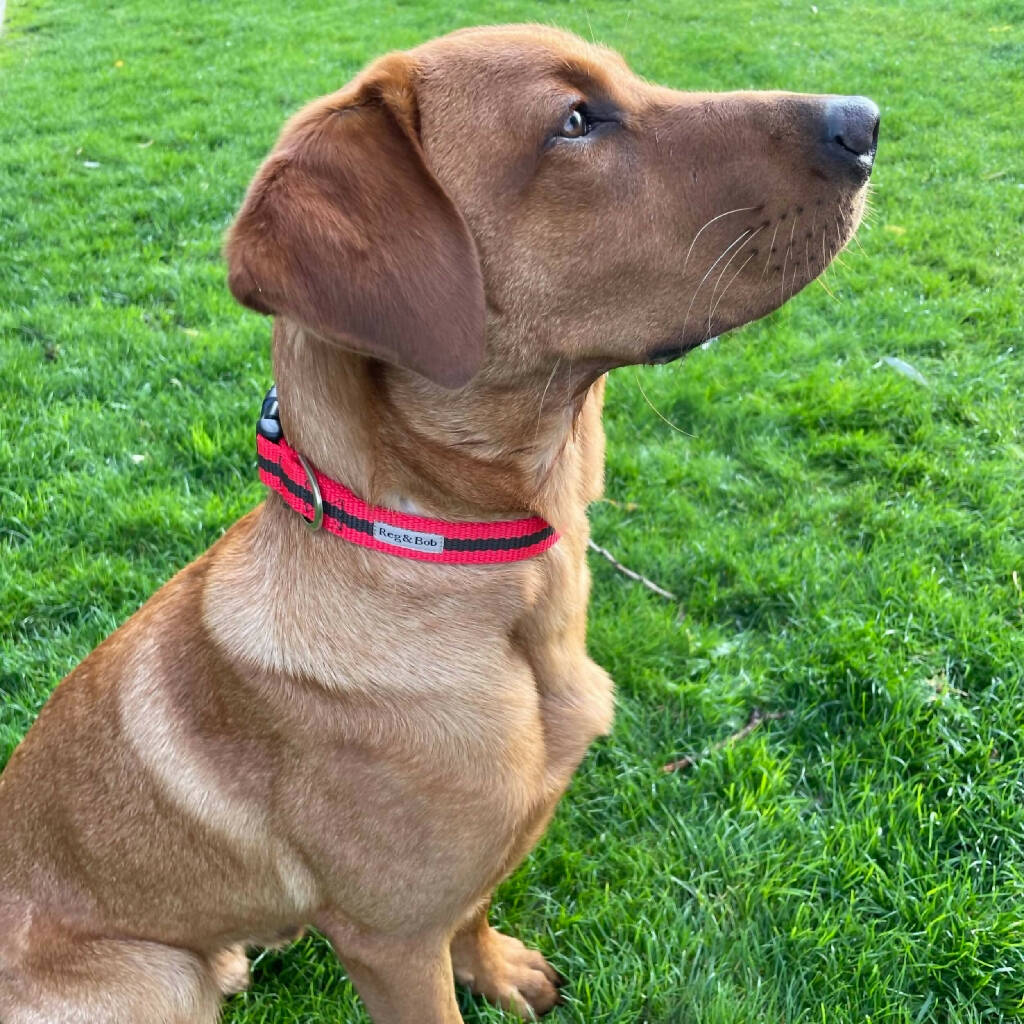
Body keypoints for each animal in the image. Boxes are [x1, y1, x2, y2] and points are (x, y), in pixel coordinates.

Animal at [2, 24, 880, 1024]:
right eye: (574, 121)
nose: (867, 122)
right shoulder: (391, 943)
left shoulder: (465, 878)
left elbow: (479, 907)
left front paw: (497, 969)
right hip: (158, 974)